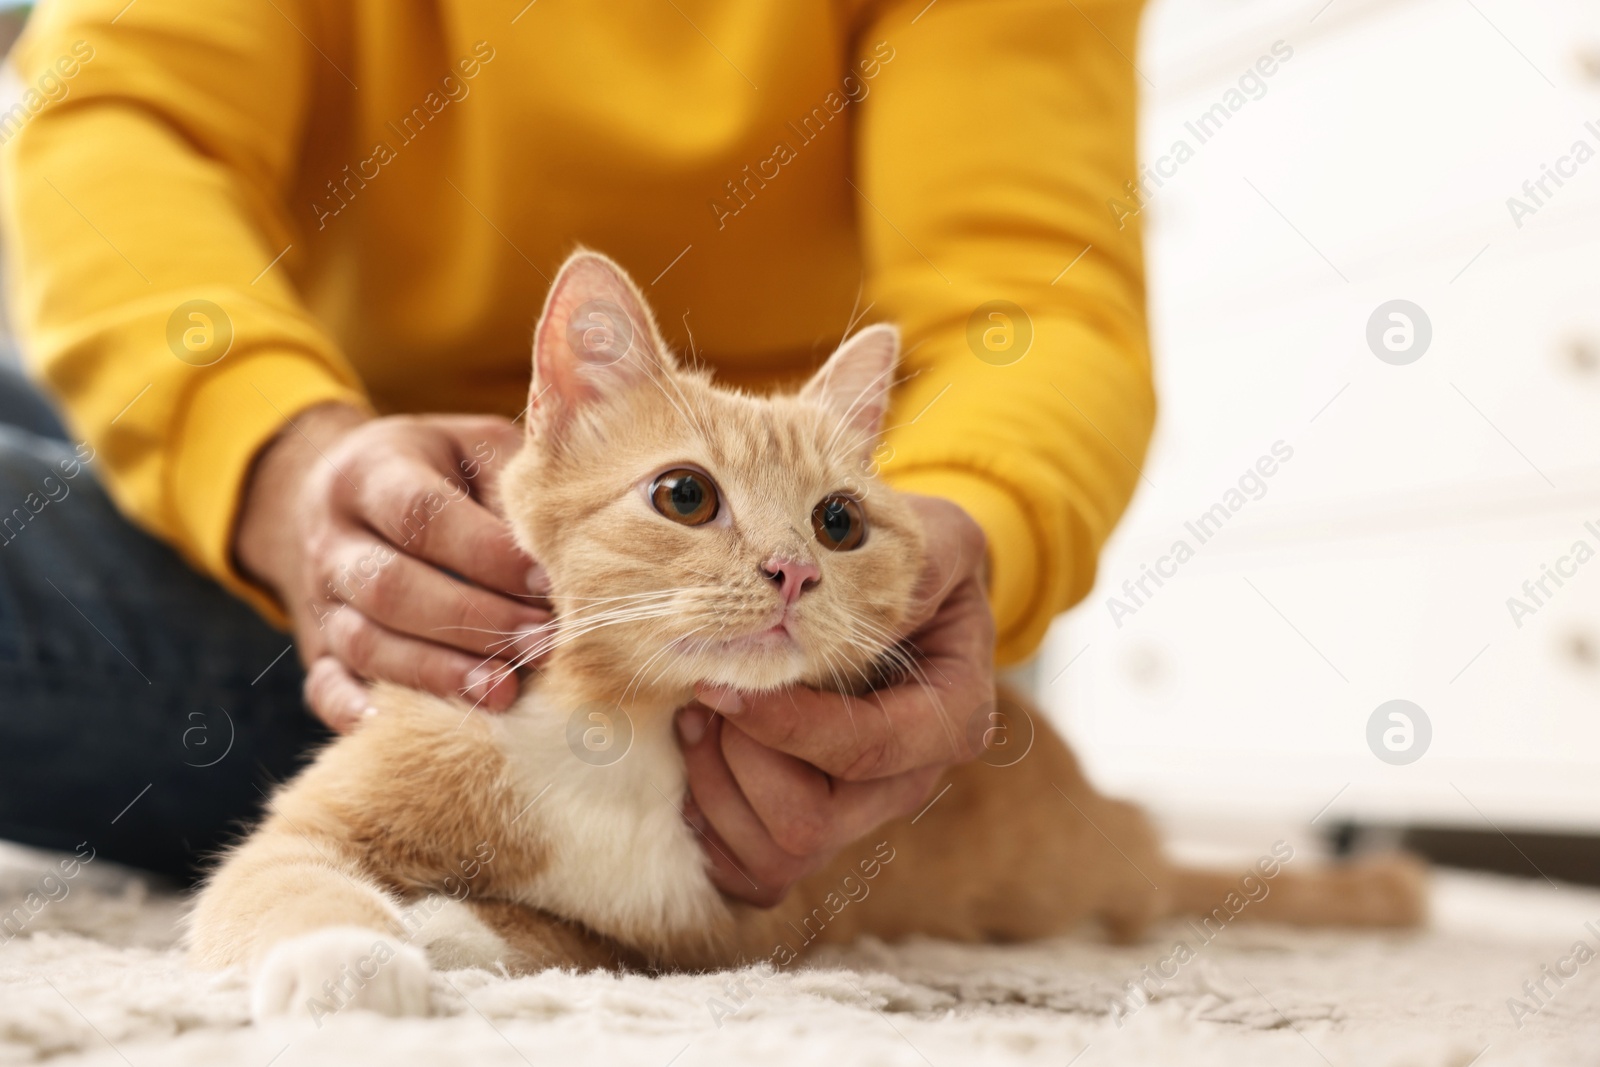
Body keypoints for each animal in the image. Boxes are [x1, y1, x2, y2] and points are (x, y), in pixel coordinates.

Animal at [187, 252, 1427, 1023]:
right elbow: (290, 877)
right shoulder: (318, 819)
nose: (792, 568)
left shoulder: (736, 926)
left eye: (838, 519)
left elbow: (584, 934)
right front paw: (345, 955)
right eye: (684, 495)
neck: (621, 727)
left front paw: (447, 926)